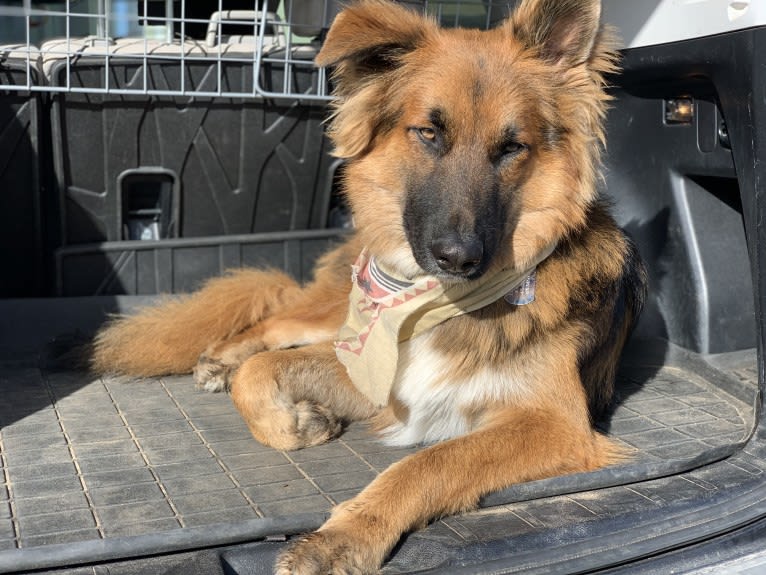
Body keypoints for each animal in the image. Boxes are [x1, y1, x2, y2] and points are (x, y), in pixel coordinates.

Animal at [90, 0, 648, 572]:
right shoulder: (377, 366)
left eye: (513, 147)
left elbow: (430, 462)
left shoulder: (554, 424)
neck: (436, 301)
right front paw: (293, 422)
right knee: (274, 323)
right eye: (428, 133)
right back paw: (221, 357)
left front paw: (343, 535)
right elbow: (258, 372)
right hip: (333, 316)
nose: (459, 258)